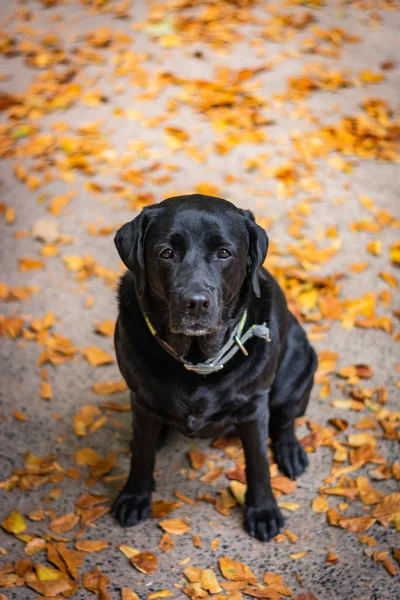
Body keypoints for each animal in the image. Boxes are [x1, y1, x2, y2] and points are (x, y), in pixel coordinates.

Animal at [111, 195, 318, 540]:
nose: (195, 302)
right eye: (166, 253)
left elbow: (258, 462)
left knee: (286, 421)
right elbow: (142, 453)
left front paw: (263, 510)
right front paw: (135, 496)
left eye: (224, 253)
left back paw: (291, 452)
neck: (197, 359)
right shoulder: (141, 400)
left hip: (297, 372)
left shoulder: (254, 407)